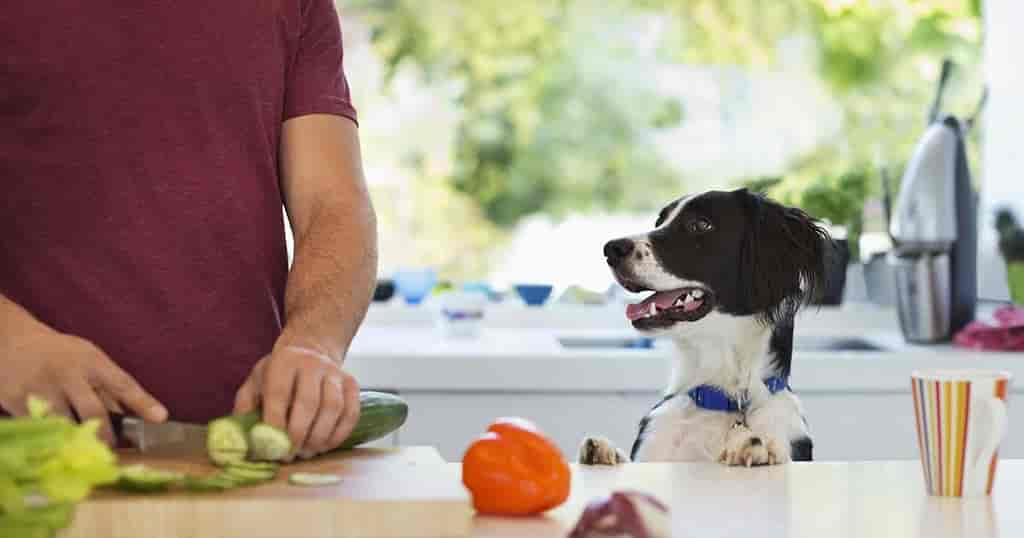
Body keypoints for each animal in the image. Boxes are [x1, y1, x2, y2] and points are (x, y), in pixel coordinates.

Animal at [577, 188, 831, 465]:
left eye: (700, 224)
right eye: (659, 222)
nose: (610, 249)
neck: (726, 399)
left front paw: (751, 448)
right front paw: (605, 453)